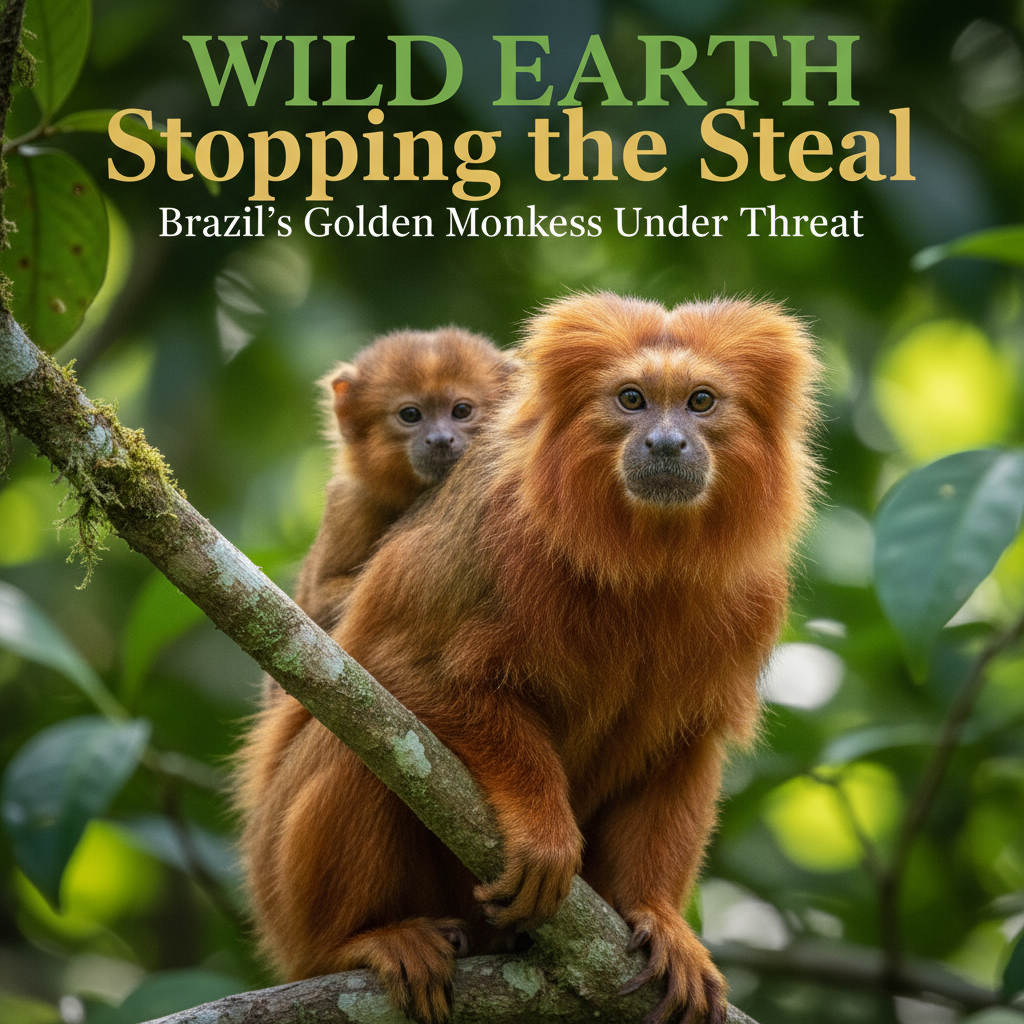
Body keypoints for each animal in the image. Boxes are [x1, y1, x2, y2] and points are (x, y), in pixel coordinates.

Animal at [236, 293, 821, 1024]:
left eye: (701, 401)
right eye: (631, 399)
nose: (665, 442)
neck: (641, 554)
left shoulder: (754, 601)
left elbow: (681, 750)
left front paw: (658, 916)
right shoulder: (484, 531)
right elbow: (403, 672)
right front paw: (543, 829)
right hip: (278, 888)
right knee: (368, 738)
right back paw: (356, 943)